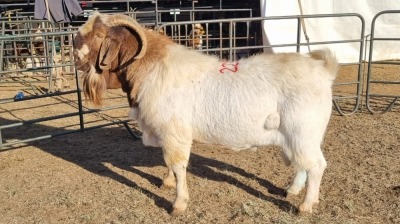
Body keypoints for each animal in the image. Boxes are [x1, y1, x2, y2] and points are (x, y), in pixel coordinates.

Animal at [74, 12, 338, 215]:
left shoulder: (174, 131)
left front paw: (178, 204)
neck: (152, 67)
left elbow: (178, 165)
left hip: (303, 131)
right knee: (303, 163)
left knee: (317, 165)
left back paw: (305, 205)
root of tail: (323, 71)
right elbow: (168, 162)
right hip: (297, 137)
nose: (76, 60)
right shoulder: (167, 134)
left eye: (100, 35)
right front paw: (166, 182)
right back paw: (292, 190)